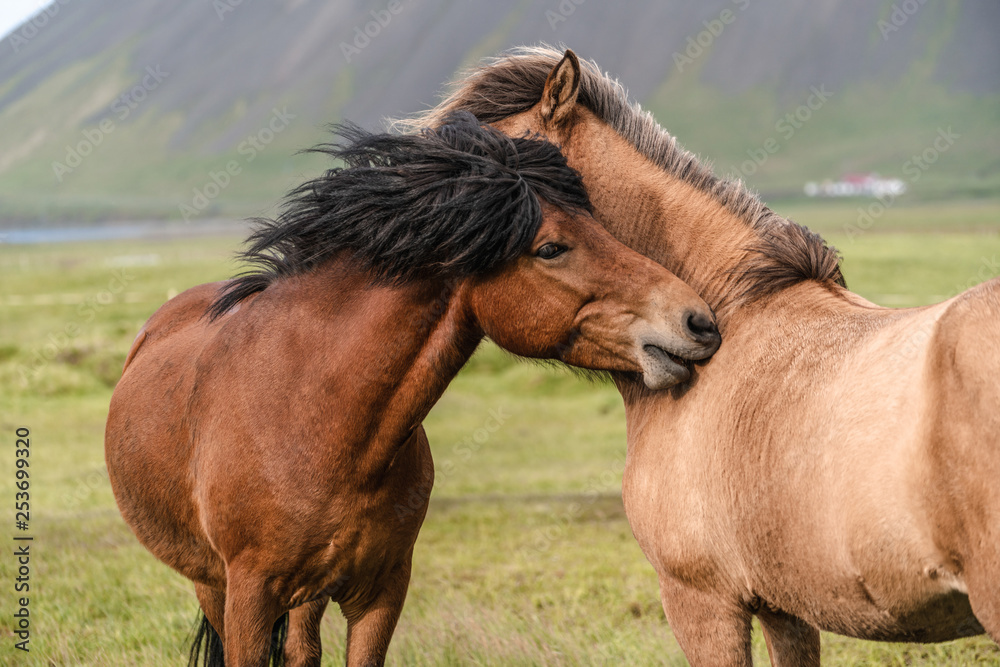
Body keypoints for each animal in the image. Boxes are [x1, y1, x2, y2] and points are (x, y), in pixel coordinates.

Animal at [107, 112, 720, 664]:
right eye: (550, 247)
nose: (699, 321)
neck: (311, 413)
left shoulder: (381, 592)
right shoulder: (249, 598)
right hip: (211, 584)